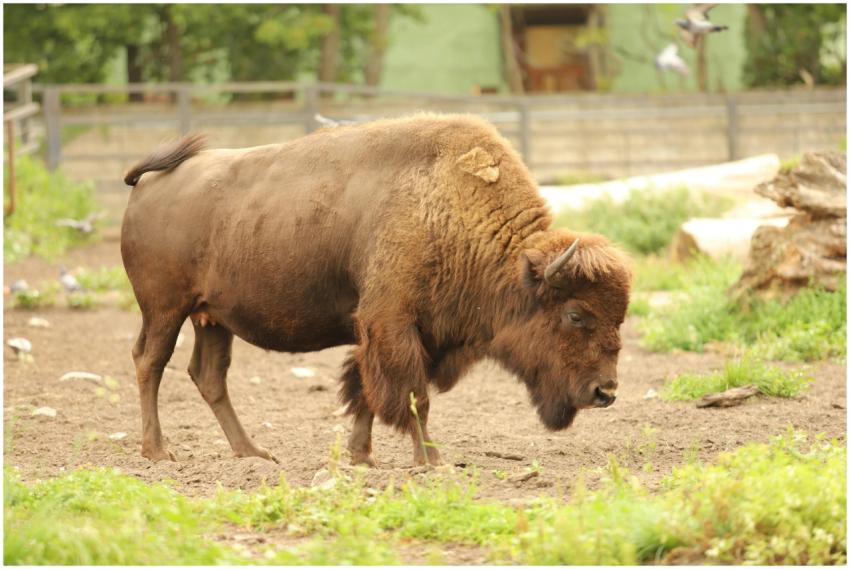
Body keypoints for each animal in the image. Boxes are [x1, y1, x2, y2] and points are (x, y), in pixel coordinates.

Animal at [121, 114, 631, 466]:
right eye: (576, 315)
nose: (605, 392)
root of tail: (149, 183)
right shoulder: (392, 325)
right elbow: (412, 396)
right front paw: (431, 461)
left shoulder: (407, 335)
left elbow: (366, 391)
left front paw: (362, 457)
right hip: (165, 310)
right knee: (151, 363)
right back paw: (158, 452)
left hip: (212, 318)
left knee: (209, 376)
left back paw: (252, 453)